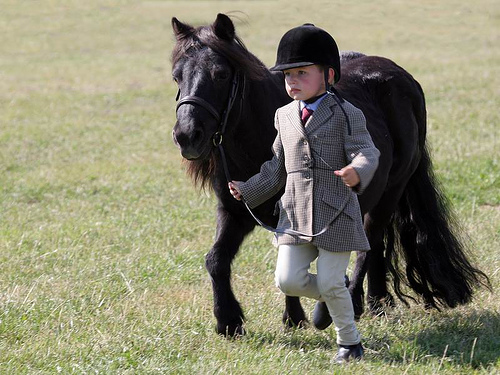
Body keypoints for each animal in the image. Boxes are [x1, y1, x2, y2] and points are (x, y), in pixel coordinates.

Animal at [170, 13, 490, 338]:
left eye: (221, 74)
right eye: (176, 76)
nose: (187, 136)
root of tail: (402, 76)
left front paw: (293, 316)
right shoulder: (234, 211)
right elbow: (217, 259)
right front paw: (230, 320)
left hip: (392, 190)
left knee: (369, 243)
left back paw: (354, 301)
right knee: (375, 246)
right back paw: (376, 302)